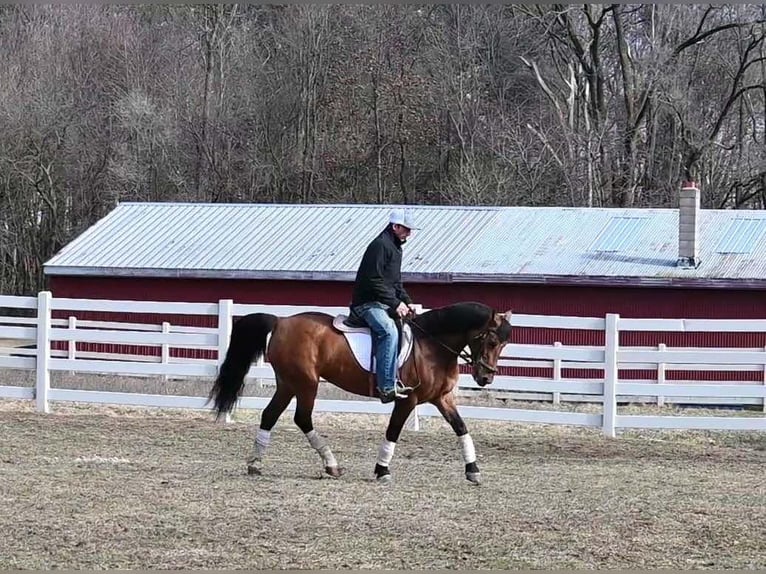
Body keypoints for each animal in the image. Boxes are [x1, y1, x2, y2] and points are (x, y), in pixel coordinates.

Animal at [208, 301, 513, 485]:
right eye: (492, 341)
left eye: (503, 345)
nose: (485, 377)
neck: (431, 346)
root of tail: (281, 321)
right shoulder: (408, 399)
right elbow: (393, 431)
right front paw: (383, 470)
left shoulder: (442, 398)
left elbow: (461, 428)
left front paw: (473, 470)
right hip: (306, 384)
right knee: (302, 419)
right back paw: (331, 464)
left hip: (288, 384)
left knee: (270, 415)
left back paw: (256, 463)